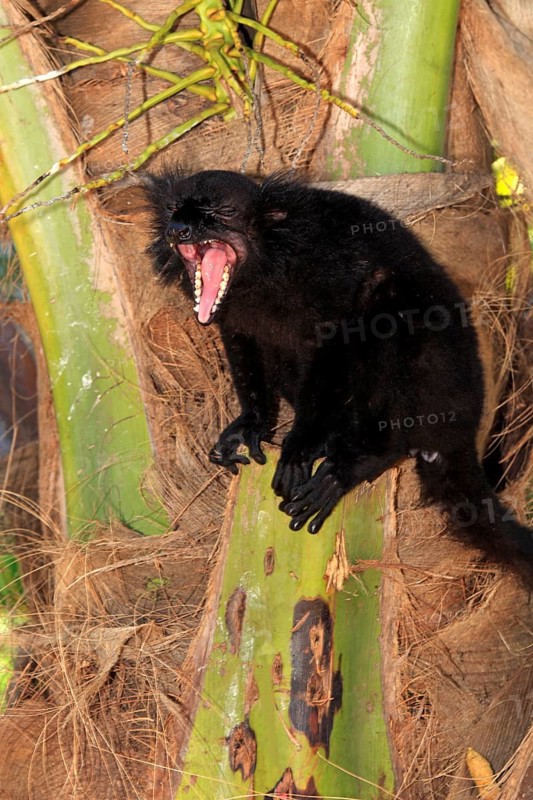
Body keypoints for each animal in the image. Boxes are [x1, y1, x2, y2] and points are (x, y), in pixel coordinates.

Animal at [144, 168, 533, 573]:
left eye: (221, 211)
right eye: (174, 209)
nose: (178, 230)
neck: (266, 268)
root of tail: (461, 431)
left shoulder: (327, 272)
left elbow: (336, 338)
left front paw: (300, 447)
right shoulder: (237, 319)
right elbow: (245, 345)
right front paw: (253, 423)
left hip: (434, 383)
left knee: (381, 298)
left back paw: (355, 462)